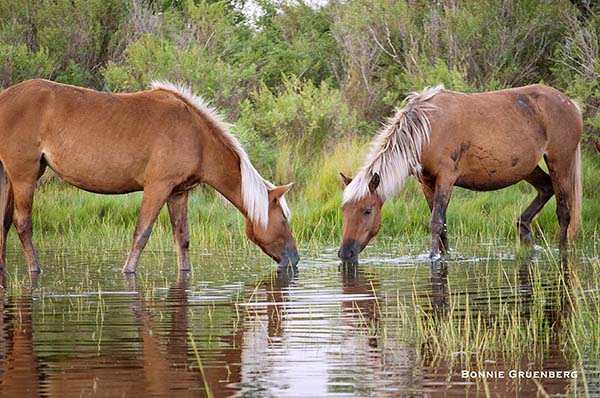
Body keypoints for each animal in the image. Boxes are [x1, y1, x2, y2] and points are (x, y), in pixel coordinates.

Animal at [0, 80, 300, 274]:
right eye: (284, 218)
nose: (294, 259)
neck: (197, 136)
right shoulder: (158, 187)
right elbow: (141, 233)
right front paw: (128, 271)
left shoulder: (179, 192)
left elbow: (182, 239)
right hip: (25, 174)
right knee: (22, 223)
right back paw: (35, 269)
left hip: (13, 177)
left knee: (4, 222)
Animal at [340, 84, 584, 262]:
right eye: (343, 210)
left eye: (367, 210)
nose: (345, 253)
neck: (425, 131)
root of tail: (571, 104)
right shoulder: (426, 183)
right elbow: (443, 227)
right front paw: (444, 255)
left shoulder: (446, 179)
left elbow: (436, 222)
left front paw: (433, 258)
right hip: (528, 168)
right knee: (545, 188)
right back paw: (523, 229)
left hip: (560, 162)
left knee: (564, 212)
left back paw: (562, 251)